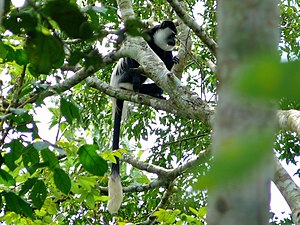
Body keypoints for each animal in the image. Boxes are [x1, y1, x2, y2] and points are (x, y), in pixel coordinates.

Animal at [108, 20, 178, 214]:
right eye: (172, 35)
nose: (175, 41)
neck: (156, 43)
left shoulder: (165, 52)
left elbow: (166, 66)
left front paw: (175, 60)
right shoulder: (145, 37)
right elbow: (133, 58)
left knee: (156, 85)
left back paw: (155, 93)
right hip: (124, 77)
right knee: (133, 68)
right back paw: (136, 85)